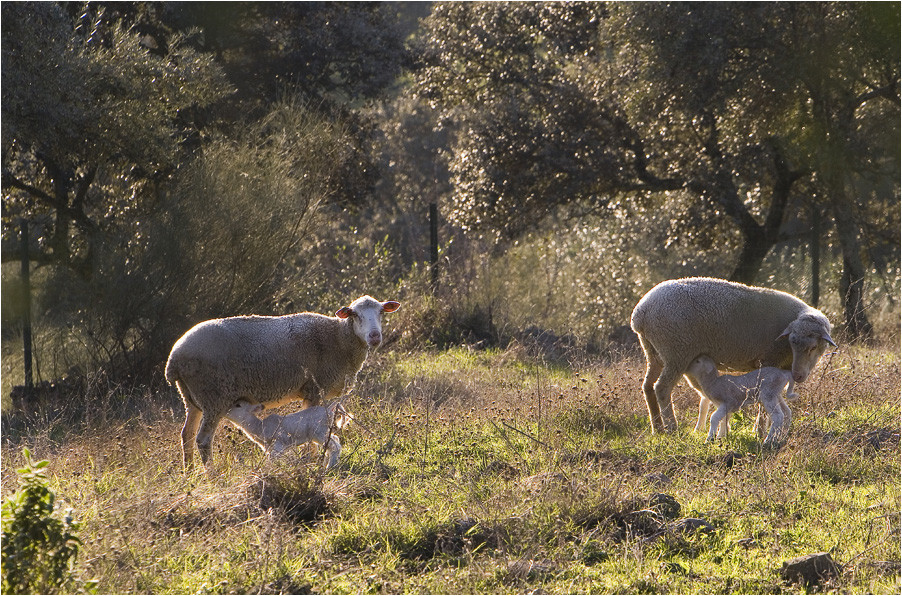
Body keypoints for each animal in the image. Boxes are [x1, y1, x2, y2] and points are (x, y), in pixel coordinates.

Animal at [225, 398, 354, 468]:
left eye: (238, 405)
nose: (225, 411)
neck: (259, 427)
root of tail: (330, 409)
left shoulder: (278, 445)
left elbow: (272, 462)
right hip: (324, 432)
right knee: (335, 440)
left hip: (319, 433)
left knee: (334, 447)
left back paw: (329, 467)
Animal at [632, 278, 836, 436]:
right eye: (792, 342)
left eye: (813, 347)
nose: (798, 376)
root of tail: (640, 313)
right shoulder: (769, 360)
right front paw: (759, 431)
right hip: (676, 352)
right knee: (662, 388)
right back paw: (672, 428)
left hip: (654, 353)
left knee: (648, 387)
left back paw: (657, 427)